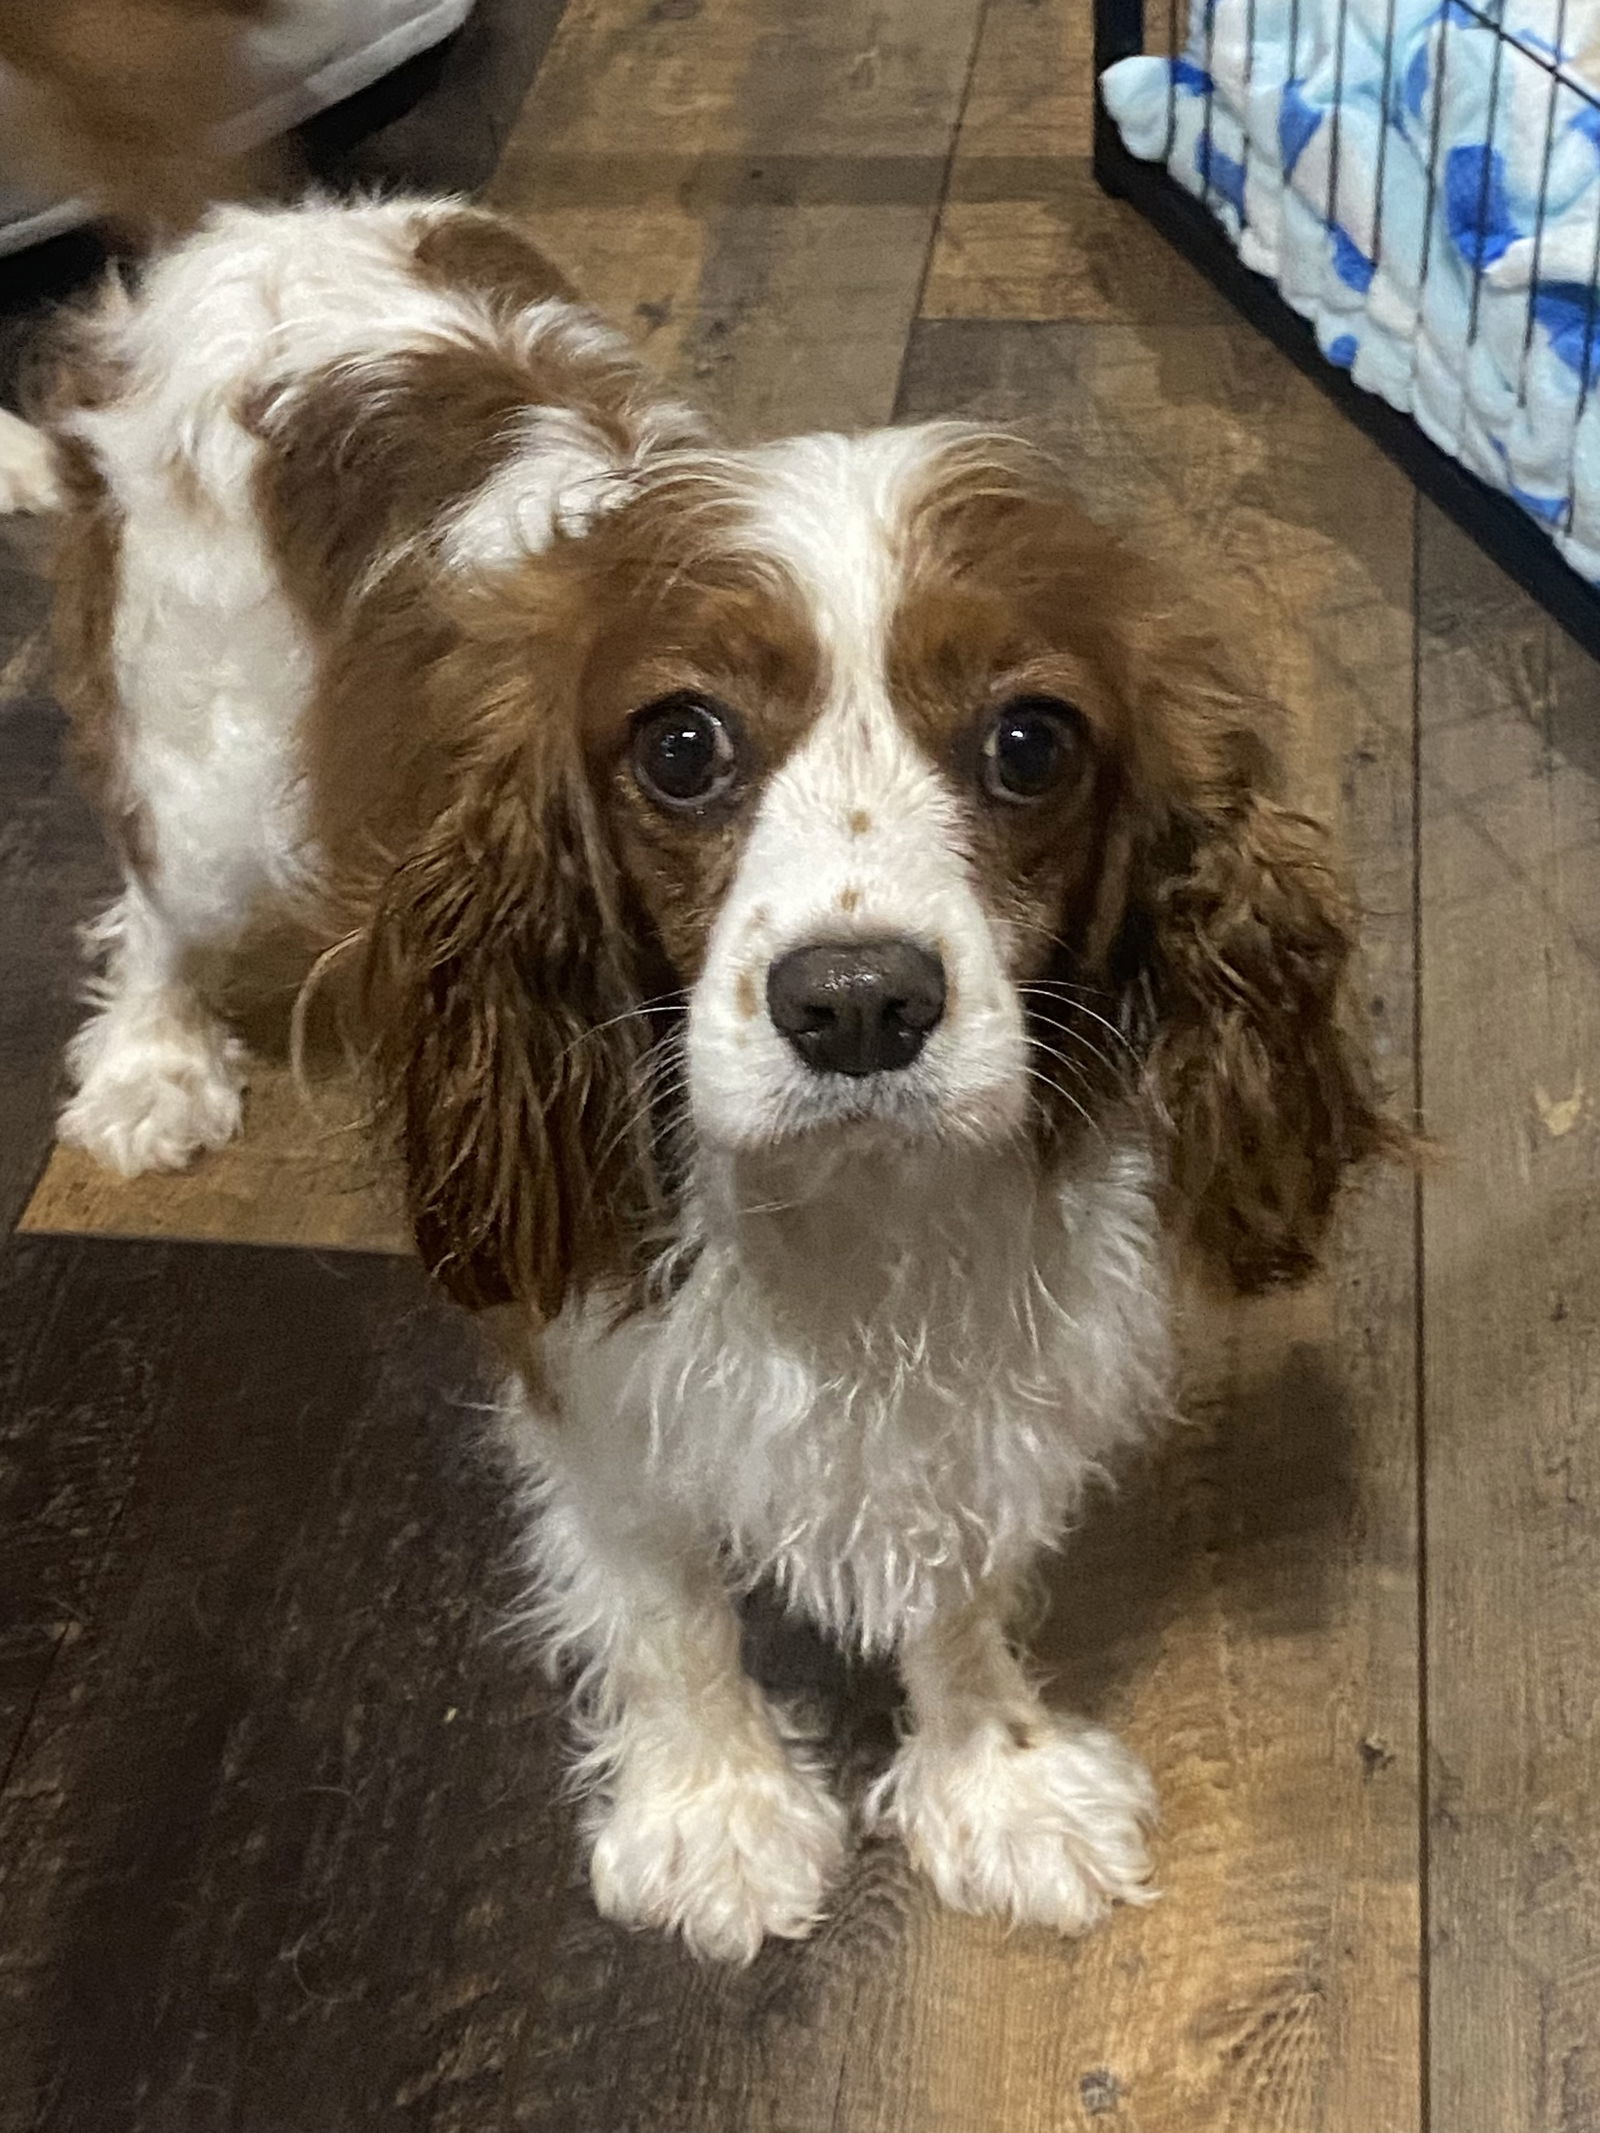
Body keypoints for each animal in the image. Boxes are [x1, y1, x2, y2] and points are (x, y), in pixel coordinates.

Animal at [25, 191, 1399, 1953]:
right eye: (682, 748)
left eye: (1031, 742)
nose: (858, 1005)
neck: (857, 1211)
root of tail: (257, 221)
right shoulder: (583, 1338)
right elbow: (660, 1594)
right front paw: (715, 1809)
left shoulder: (985, 1339)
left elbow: (955, 1572)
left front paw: (993, 1777)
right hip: (211, 794)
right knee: (146, 905)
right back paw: (150, 1067)